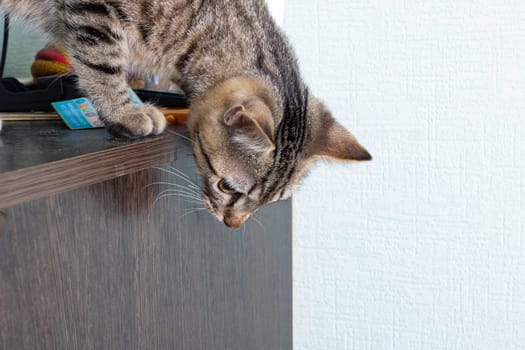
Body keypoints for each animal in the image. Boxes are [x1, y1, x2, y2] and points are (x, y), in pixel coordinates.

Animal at [0, 0, 370, 228]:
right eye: (227, 187)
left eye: (271, 203)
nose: (233, 225)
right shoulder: (93, 11)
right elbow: (102, 60)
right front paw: (123, 112)